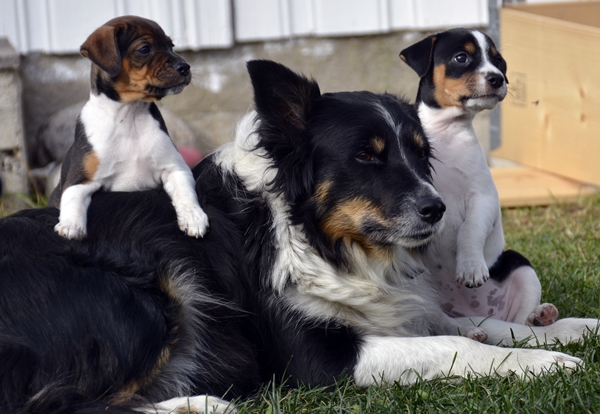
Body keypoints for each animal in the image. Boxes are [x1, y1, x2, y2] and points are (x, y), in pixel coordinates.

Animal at [0, 59, 596, 412]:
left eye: (420, 154)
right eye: (366, 156)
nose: (438, 210)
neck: (312, 235)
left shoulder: (399, 310)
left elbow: (482, 326)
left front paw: (567, 330)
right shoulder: (318, 361)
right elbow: (454, 345)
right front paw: (542, 365)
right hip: (145, 299)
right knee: (62, 406)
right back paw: (204, 404)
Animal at [46, 16, 209, 241]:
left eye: (171, 46)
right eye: (144, 49)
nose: (185, 67)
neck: (129, 116)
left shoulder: (175, 168)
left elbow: (186, 194)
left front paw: (193, 217)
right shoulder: (79, 180)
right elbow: (71, 201)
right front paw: (70, 225)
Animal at [400, 28, 560, 326]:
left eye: (498, 61)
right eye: (461, 57)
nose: (497, 78)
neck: (446, 134)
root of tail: (476, 314)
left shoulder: (483, 198)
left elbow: (469, 230)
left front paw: (471, 268)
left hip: (521, 267)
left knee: (520, 322)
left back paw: (540, 315)